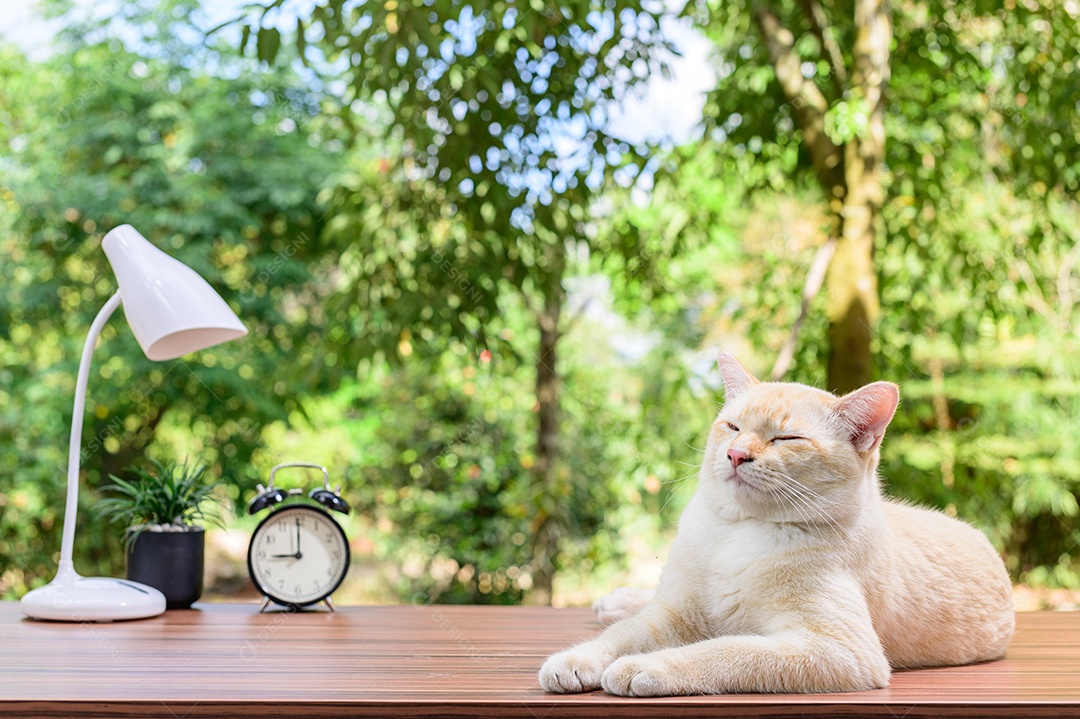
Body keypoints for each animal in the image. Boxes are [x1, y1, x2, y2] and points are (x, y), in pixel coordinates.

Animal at [540, 351, 1010, 695]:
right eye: (732, 426)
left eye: (786, 439)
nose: (736, 455)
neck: (738, 532)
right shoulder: (674, 615)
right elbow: (621, 636)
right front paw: (575, 660)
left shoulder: (836, 649)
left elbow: (723, 650)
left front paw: (644, 667)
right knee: (643, 603)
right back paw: (616, 602)